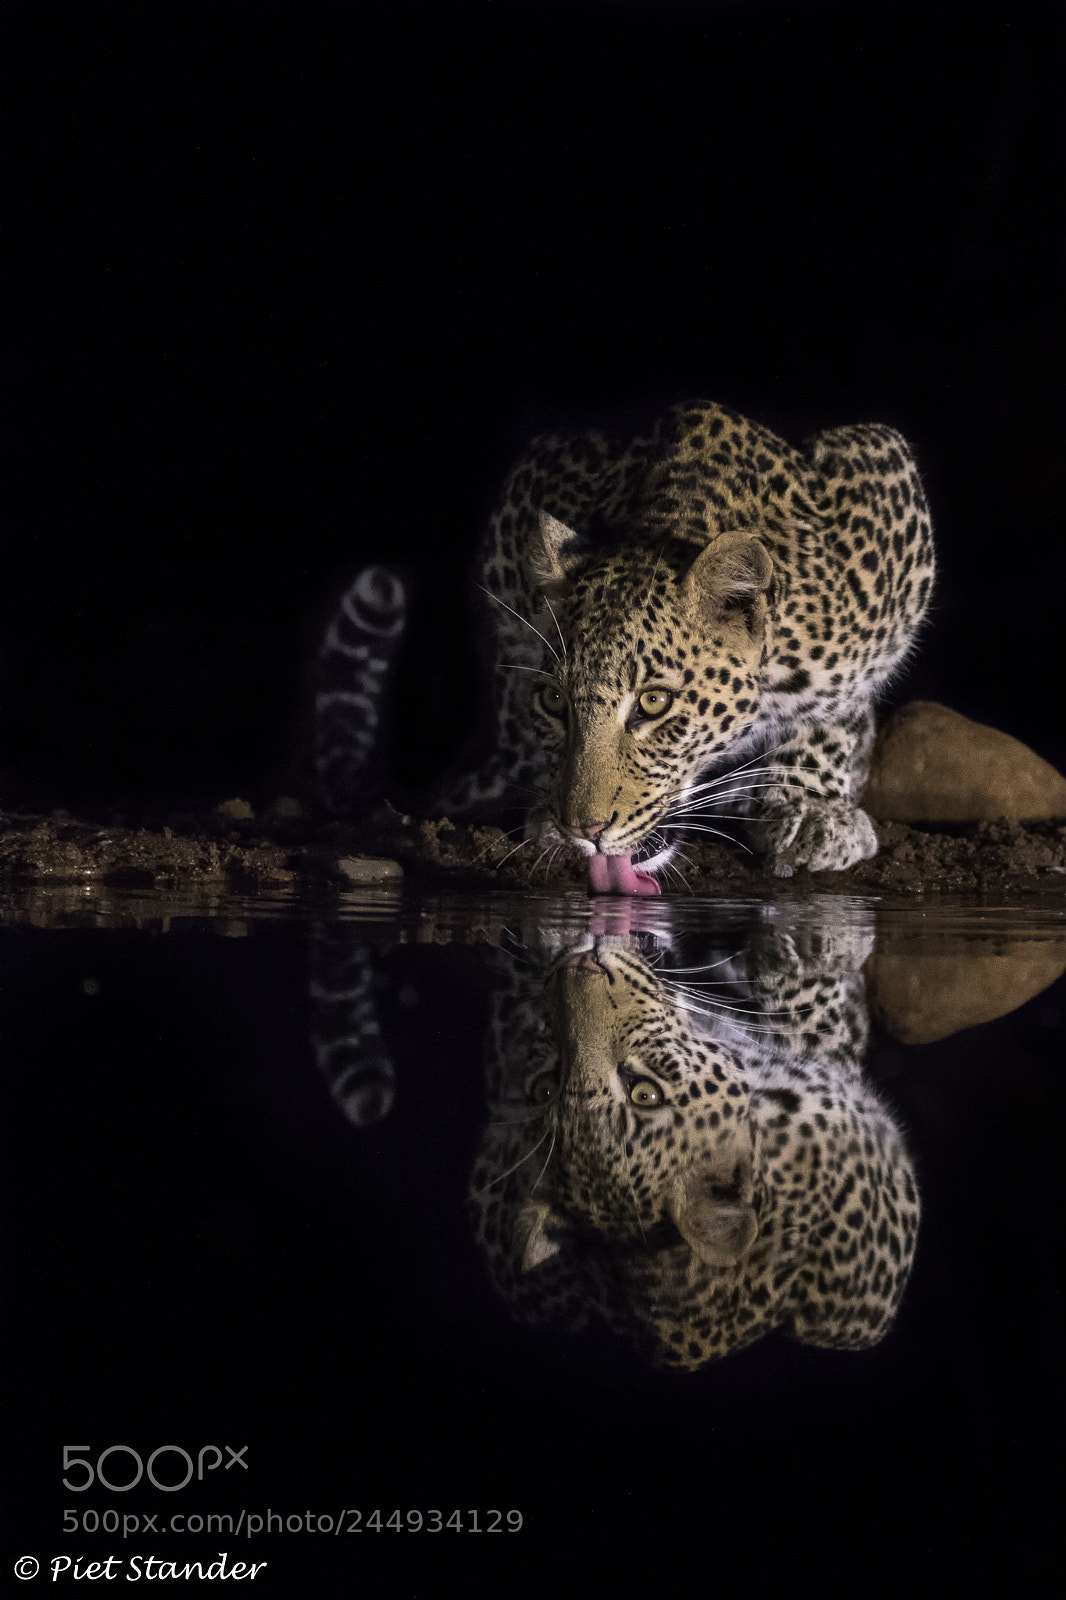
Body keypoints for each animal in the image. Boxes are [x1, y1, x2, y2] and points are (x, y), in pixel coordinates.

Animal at [315, 399, 934, 891]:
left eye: (654, 703)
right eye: (555, 702)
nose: (582, 830)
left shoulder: (890, 494)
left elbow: (837, 708)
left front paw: (812, 808)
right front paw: (545, 812)